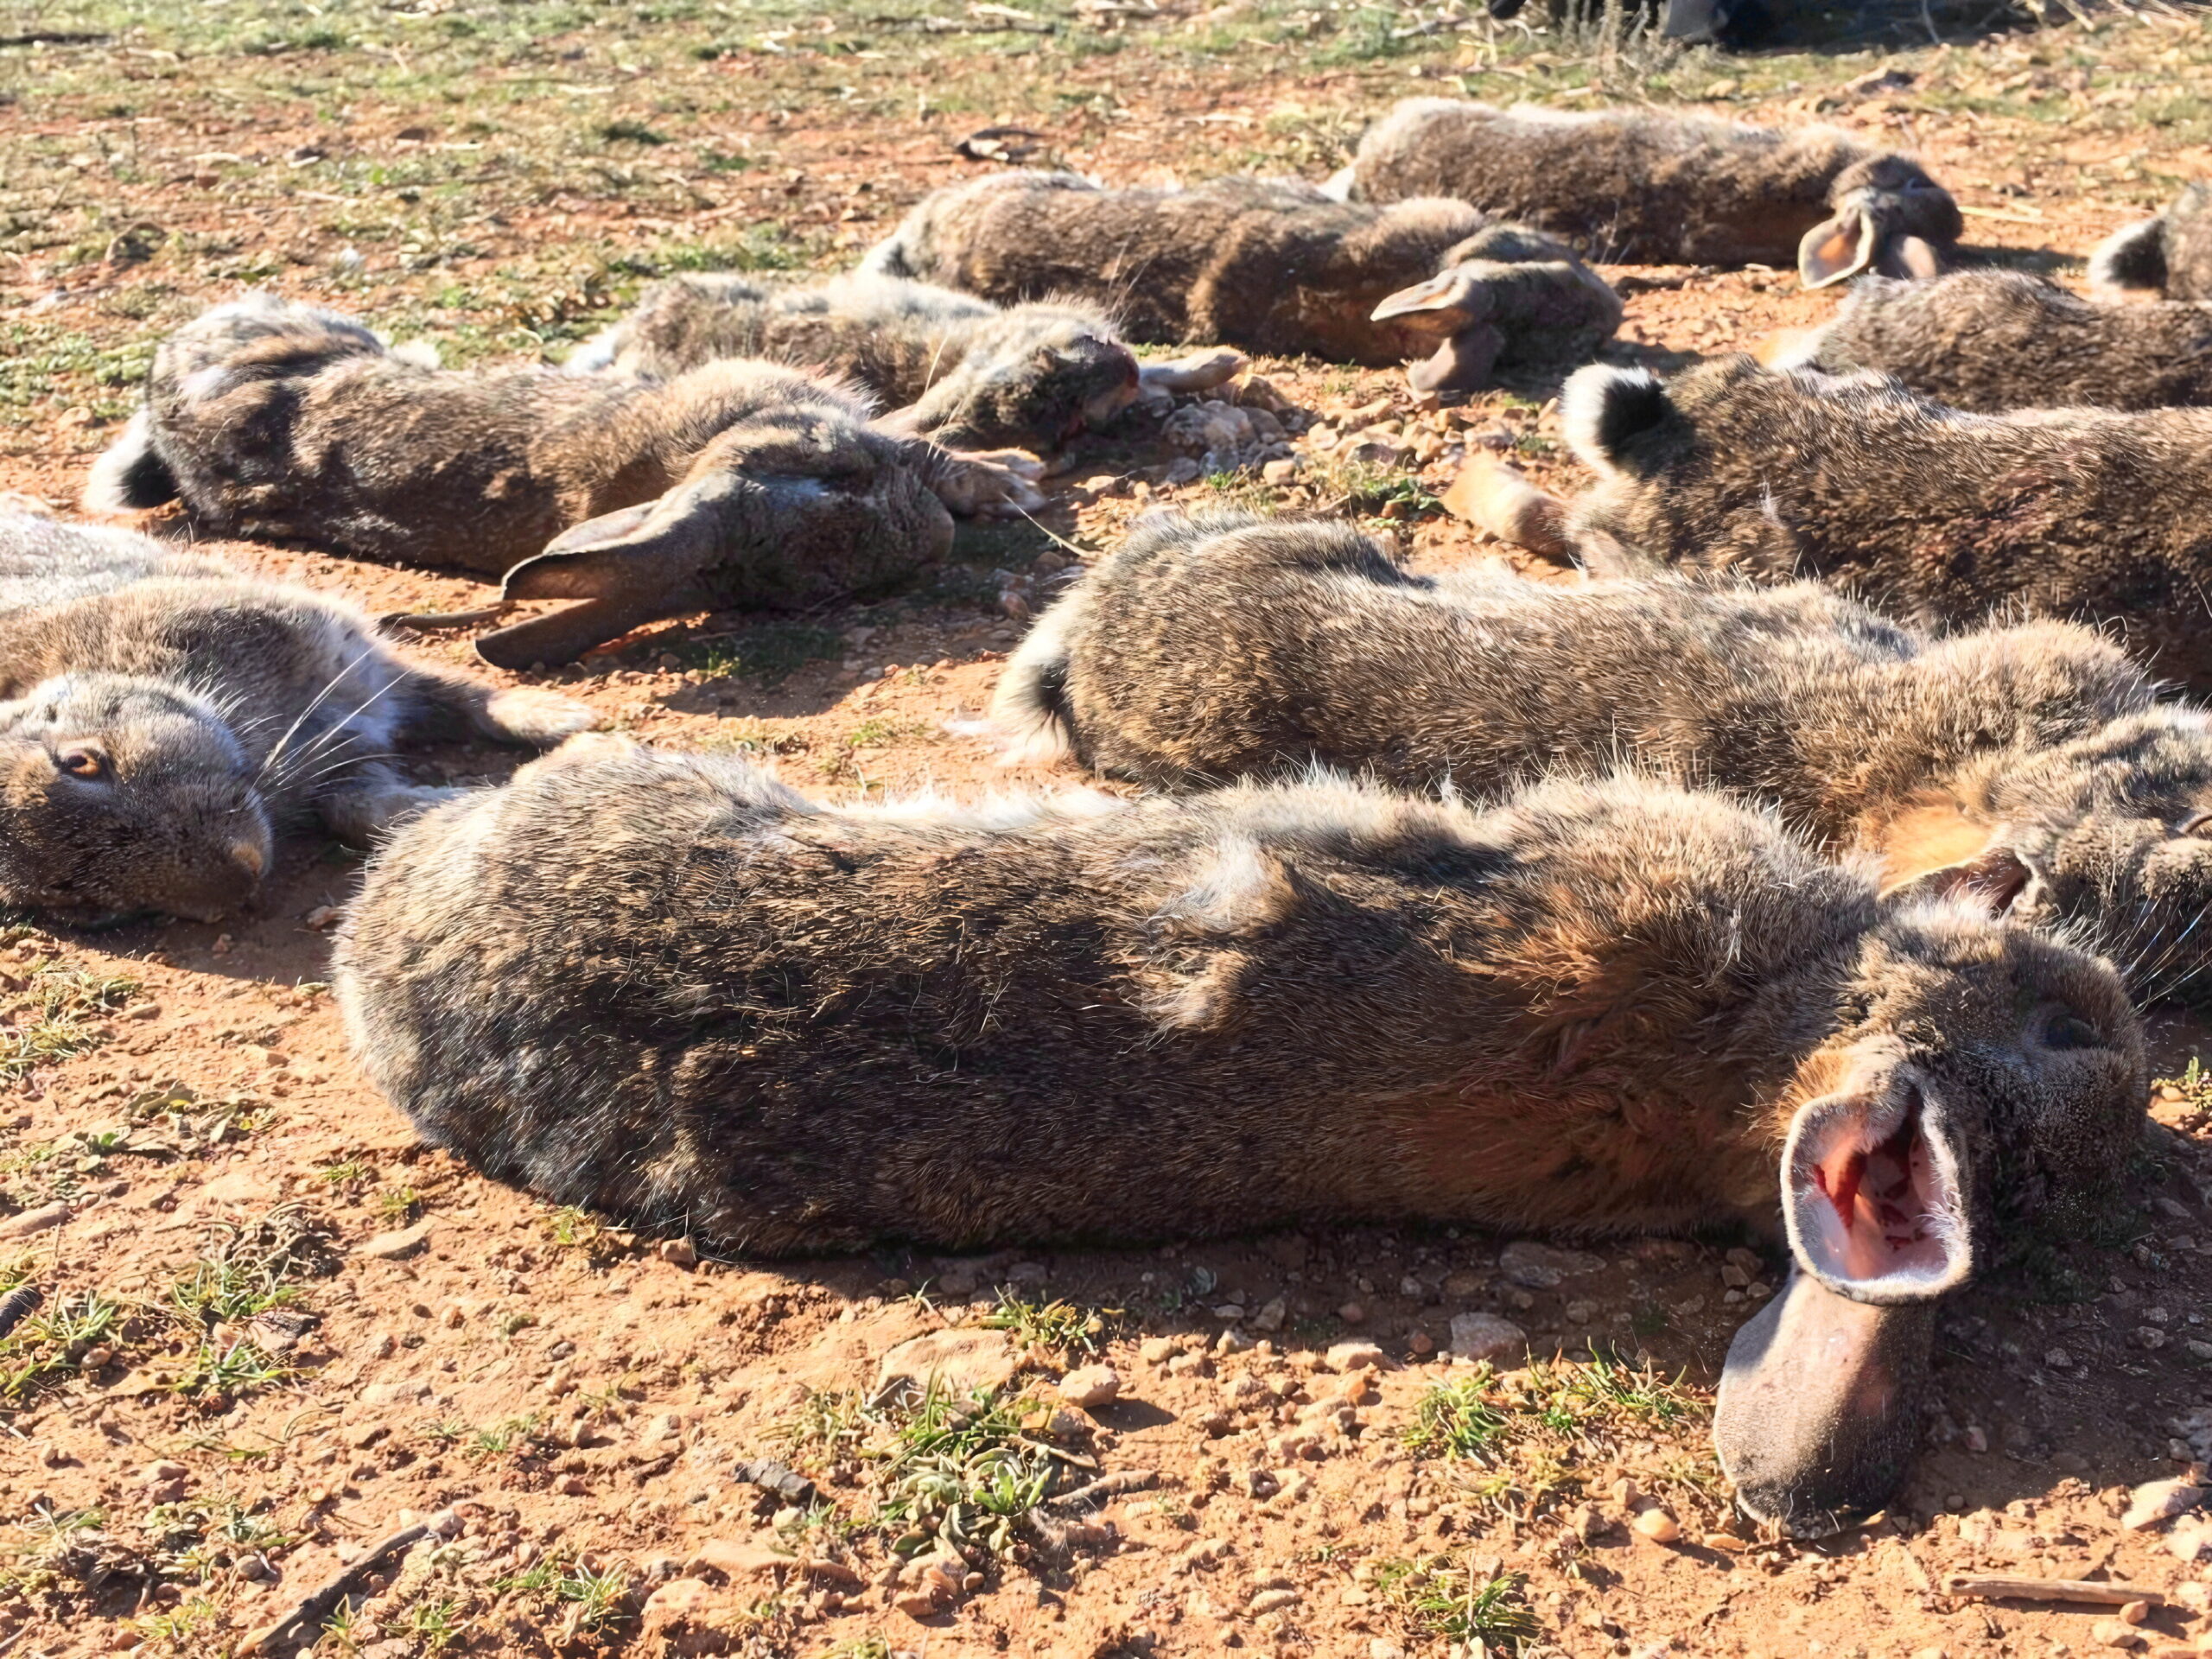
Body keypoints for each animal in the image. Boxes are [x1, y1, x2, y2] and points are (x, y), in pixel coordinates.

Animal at [0, 510, 596, 925]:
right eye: (70, 899)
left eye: (82, 761)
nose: (241, 882)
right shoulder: (348, 758)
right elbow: (358, 809)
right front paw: (458, 803)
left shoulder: (354, 660)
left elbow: (461, 695)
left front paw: (563, 721)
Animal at [86, 294, 1046, 668]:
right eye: (836, 476)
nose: (937, 538)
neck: (693, 460)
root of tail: (167, 394)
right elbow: (916, 439)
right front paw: (1012, 475)